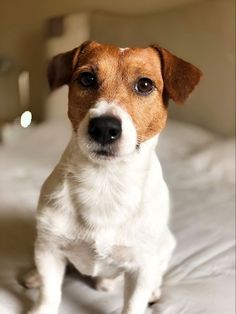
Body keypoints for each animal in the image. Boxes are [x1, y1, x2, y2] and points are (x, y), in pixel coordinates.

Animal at [23, 41, 201, 314]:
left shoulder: (141, 267)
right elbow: (49, 293)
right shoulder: (49, 248)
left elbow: (134, 303)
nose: (105, 127)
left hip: (165, 246)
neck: (104, 182)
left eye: (145, 84)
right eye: (87, 78)